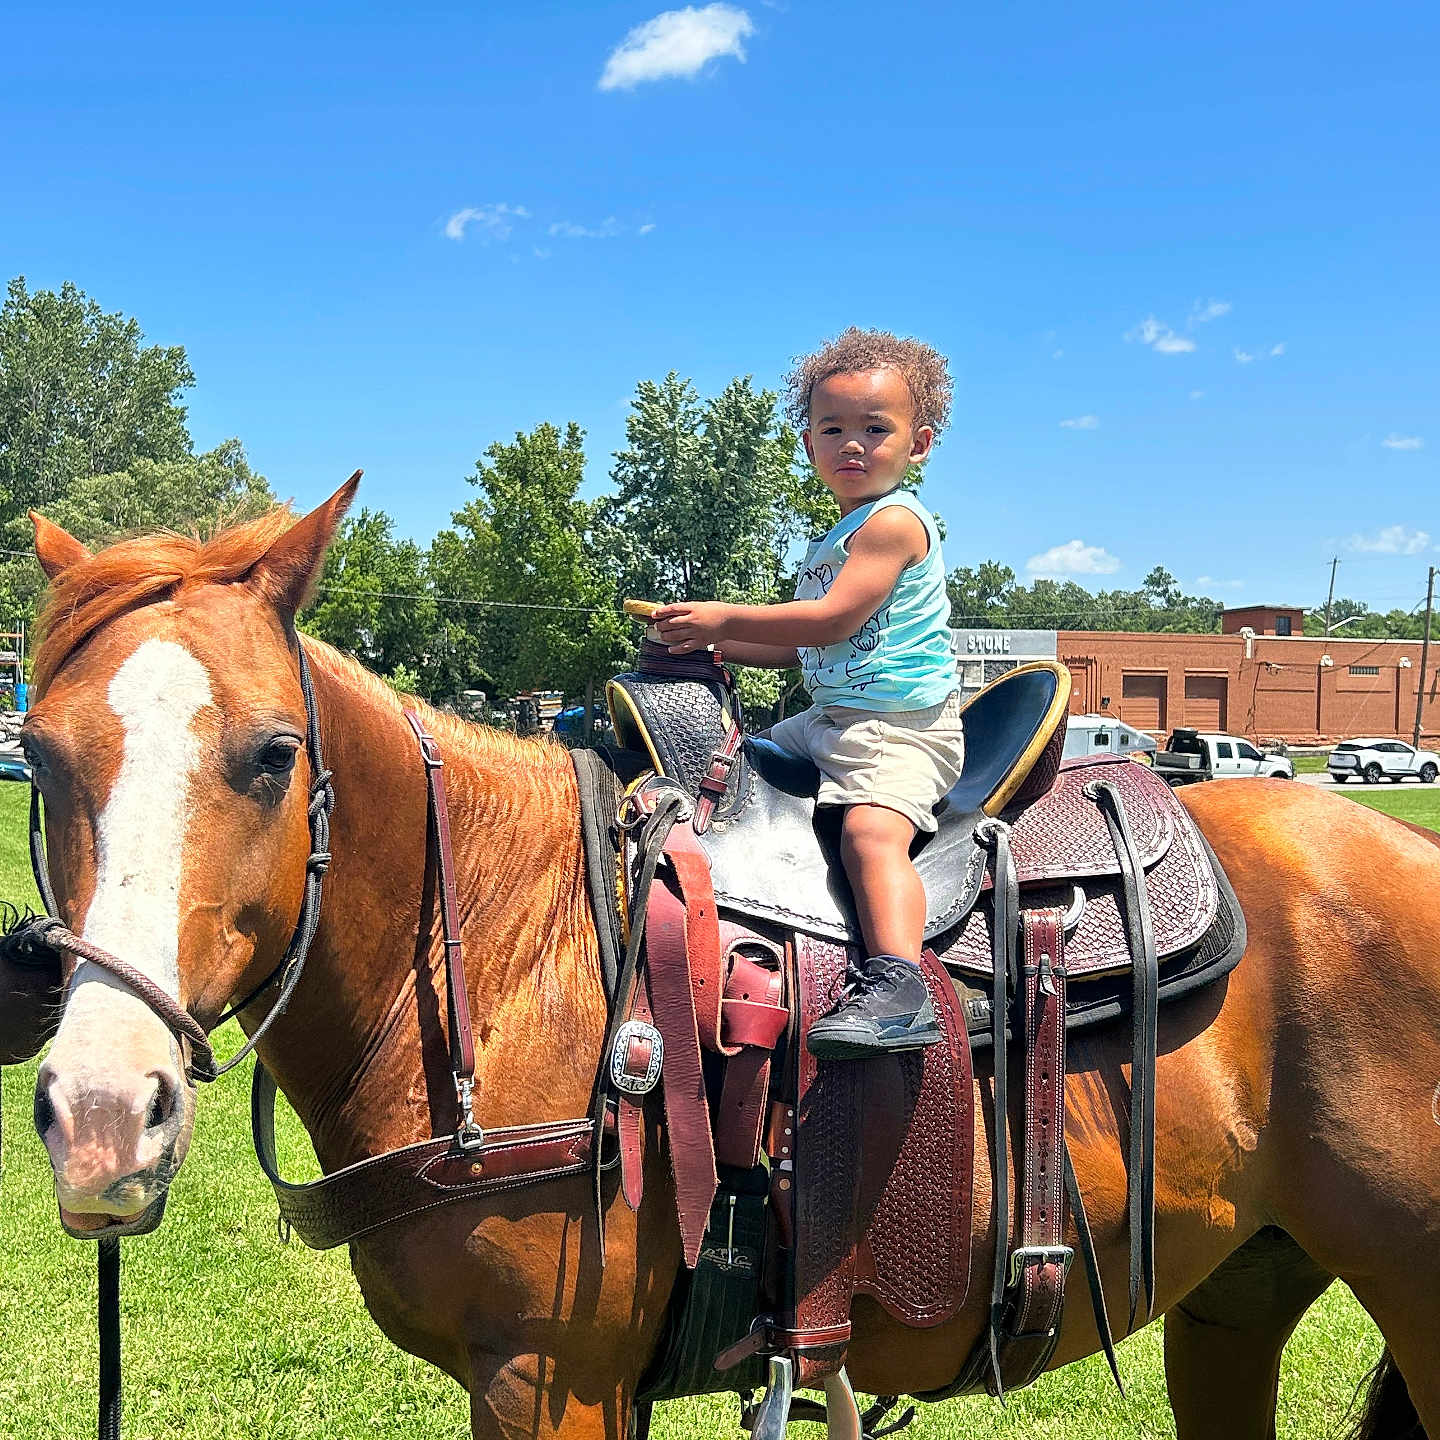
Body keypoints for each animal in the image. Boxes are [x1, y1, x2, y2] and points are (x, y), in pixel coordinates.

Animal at [19, 479, 1440, 1439]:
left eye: (272, 754)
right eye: (35, 750)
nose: (103, 1113)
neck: (509, 951)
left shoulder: (548, 1382)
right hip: (1238, 1292)